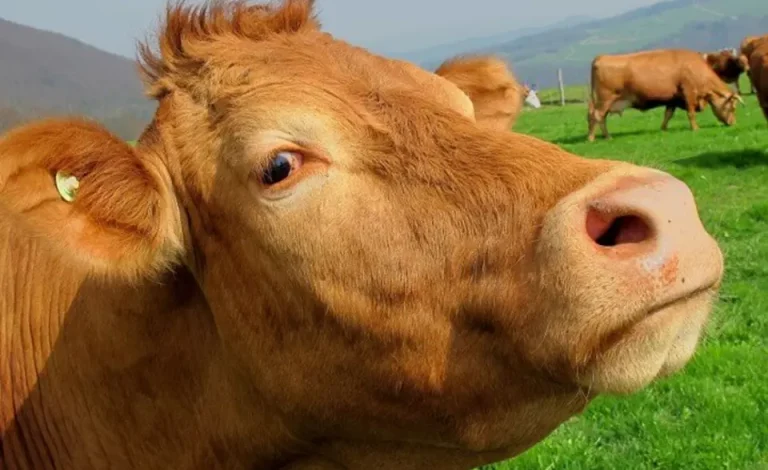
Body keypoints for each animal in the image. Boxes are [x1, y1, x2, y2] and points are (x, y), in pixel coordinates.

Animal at [588, 49, 744, 141]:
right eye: (733, 107)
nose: (733, 123)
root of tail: (601, 57)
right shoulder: (688, 93)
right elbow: (691, 113)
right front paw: (695, 128)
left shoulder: (673, 99)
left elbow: (668, 114)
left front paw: (663, 129)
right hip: (606, 99)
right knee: (597, 116)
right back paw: (600, 137)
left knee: (597, 117)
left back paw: (598, 136)